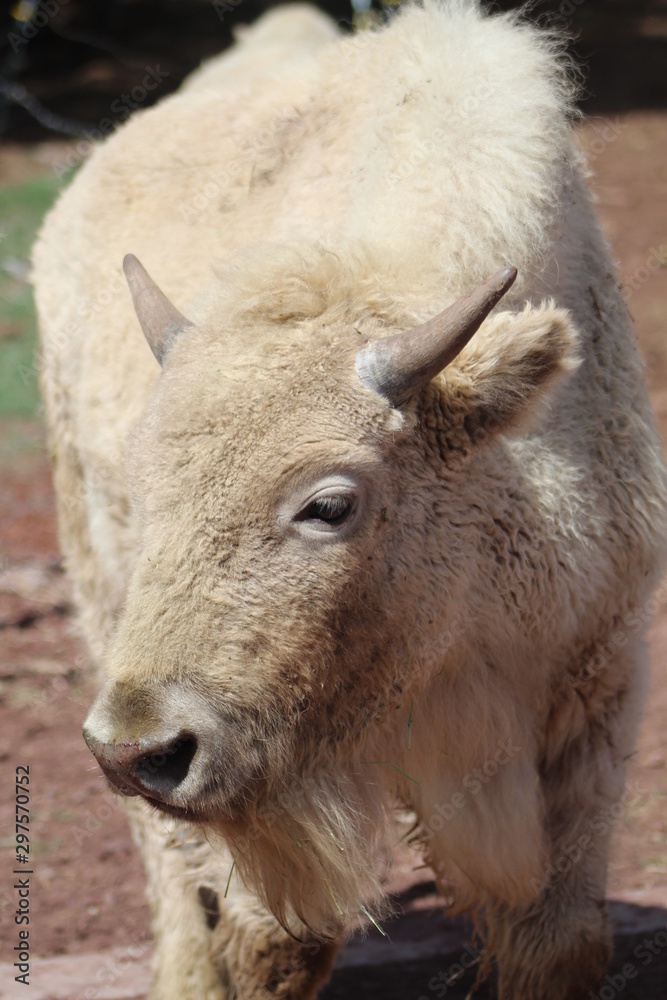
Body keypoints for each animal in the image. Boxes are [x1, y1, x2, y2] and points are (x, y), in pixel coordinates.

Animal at [32, 1, 667, 1000]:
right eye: (149, 489)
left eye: (328, 505)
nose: (140, 751)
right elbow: (275, 941)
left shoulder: (595, 681)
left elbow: (558, 939)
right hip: (102, 615)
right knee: (180, 897)